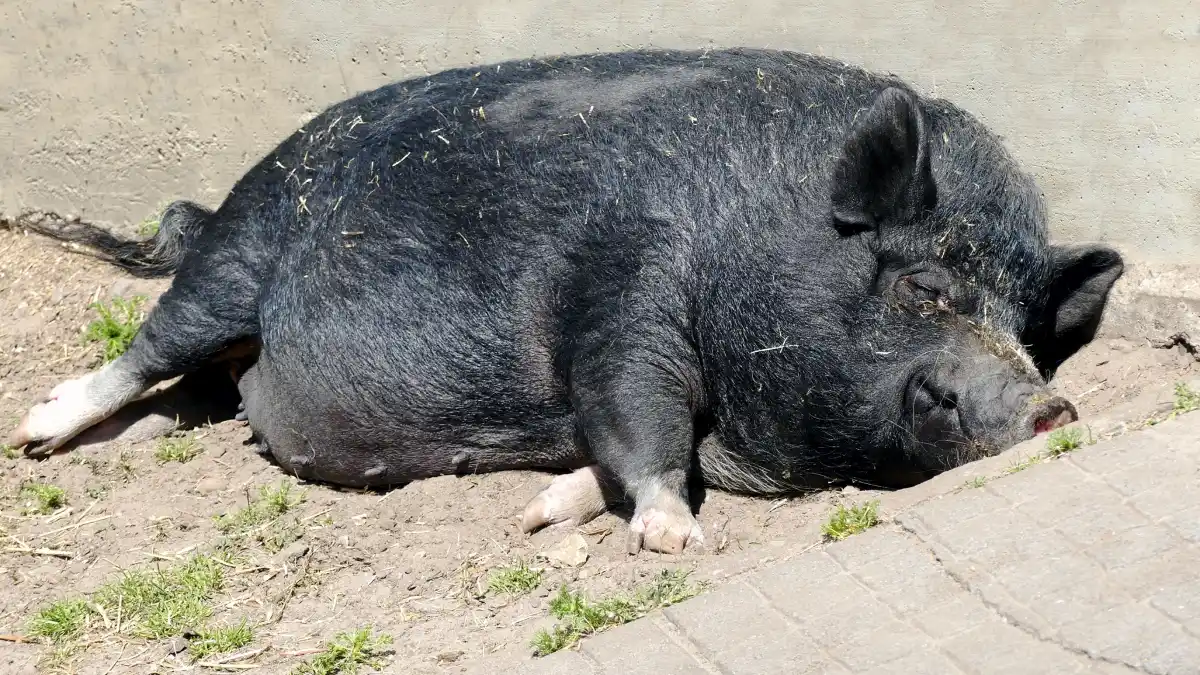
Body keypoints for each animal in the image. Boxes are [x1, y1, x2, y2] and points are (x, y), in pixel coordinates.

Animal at [10, 48, 1123, 554]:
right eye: (923, 284)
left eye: (1027, 330)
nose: (1048, 403)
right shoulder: (625, 287)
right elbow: (638, 414)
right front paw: (673, 539)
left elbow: (633, 440)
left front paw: (542, 512)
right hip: (239, 255)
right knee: (152, 346)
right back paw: (33, 434)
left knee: (193, 399)